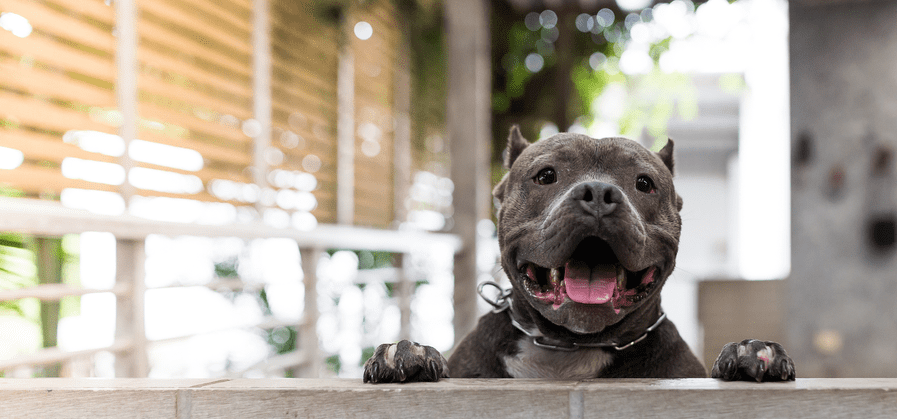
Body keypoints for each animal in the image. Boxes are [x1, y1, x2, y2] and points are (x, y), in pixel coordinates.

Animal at [360, 127, 796, 384]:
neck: (568, 349)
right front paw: (406, 353)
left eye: (644, 183)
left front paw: (751, 351)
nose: (599, 193)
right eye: (546, 176)